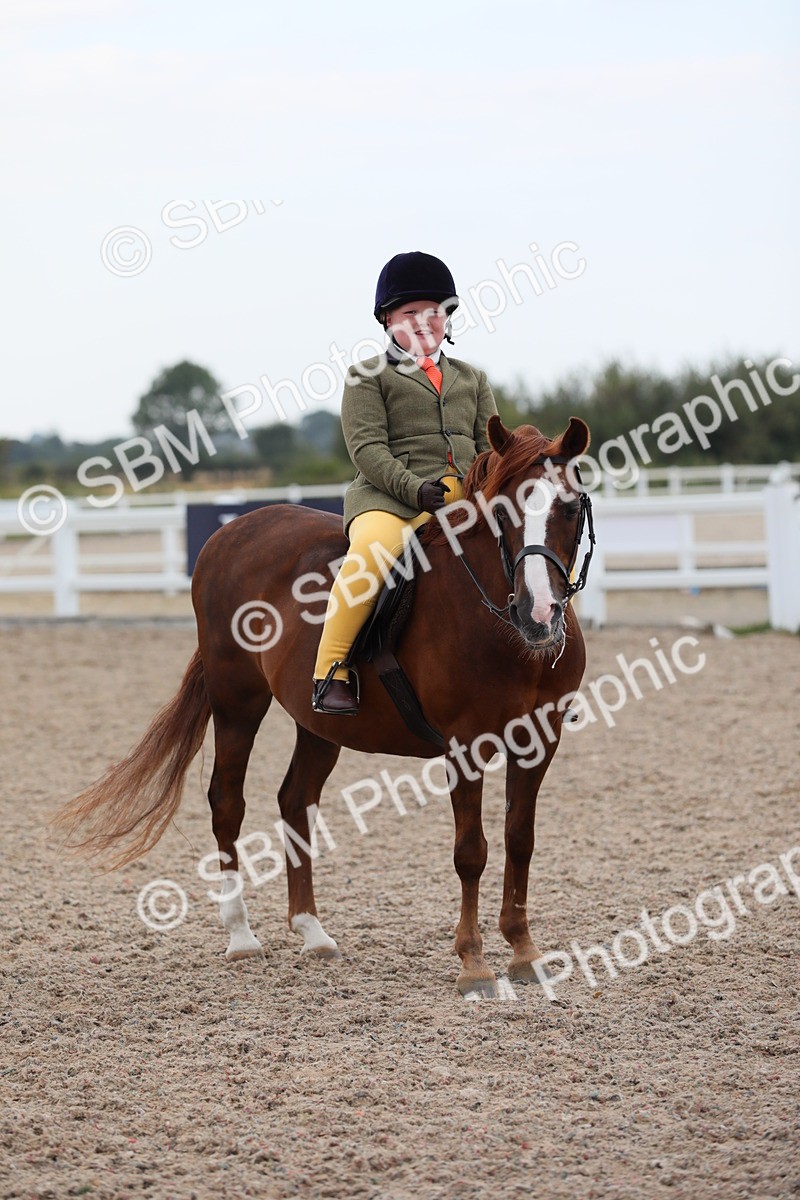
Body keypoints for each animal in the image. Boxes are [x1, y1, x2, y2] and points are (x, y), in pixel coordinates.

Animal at [56, 415, 593, 998]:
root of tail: (232, 531)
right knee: (227, 802)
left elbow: (520, 840)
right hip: (236, 699)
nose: (539, 614)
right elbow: (471, 851)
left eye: (569, 508)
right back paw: (241, 936)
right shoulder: (465, 744)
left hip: (317, 723)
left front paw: (524, 952)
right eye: (501, 513)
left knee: (295, 801)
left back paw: (312, 931)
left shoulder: (539, 739)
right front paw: (473, 964)